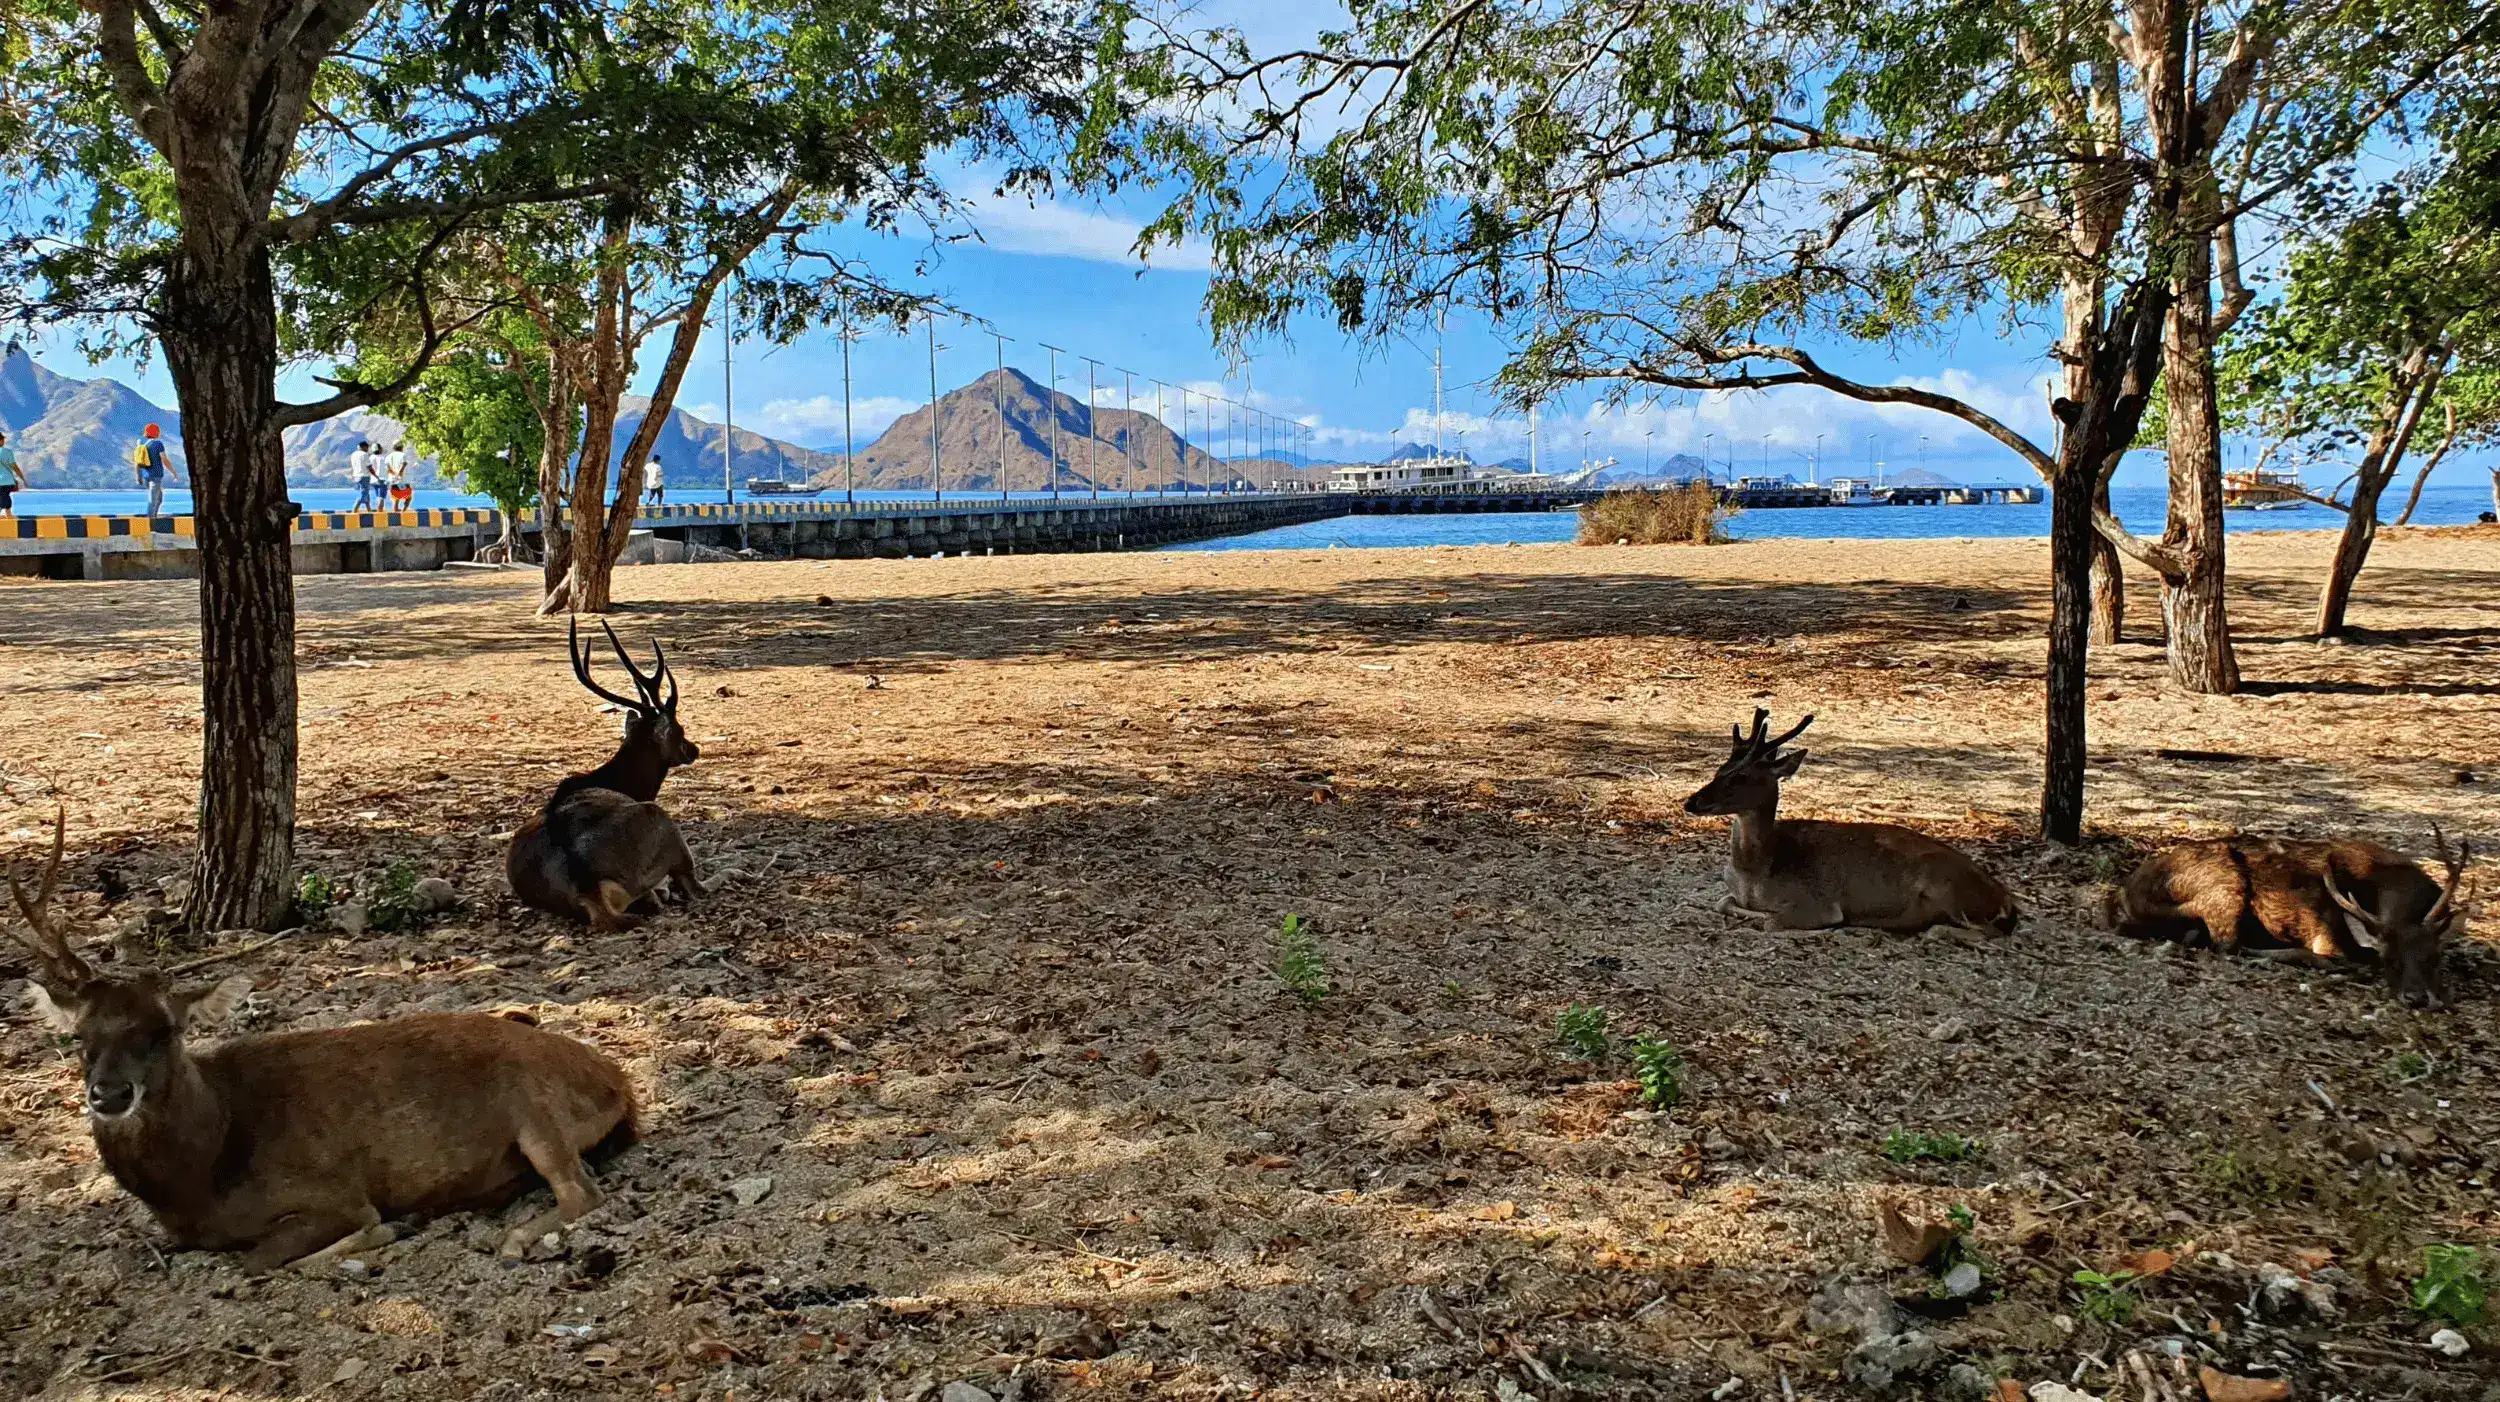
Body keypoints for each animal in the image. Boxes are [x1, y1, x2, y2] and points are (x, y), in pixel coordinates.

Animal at [7, 811, 637, 1269]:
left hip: (535, 1105)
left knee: (582, 1193)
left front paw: (387, 1228)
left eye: (164, 1032)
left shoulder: (331, 1193)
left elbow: (261, 1259)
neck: (203, 1178)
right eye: (80, 1035)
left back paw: (504, 1240)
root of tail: (619, 1083)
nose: (110, 1094)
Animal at [507, 618, 706, 930]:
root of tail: (589, 891)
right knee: (690, 885)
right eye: (679, 729)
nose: (694, 749)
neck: (625, 783)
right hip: (663, 825)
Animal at [1682, 709, 2019, 934]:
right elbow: (1722, 902)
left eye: (1740, 777)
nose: (1691, 801)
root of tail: (2005, 897)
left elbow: (1773, 921)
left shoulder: (1817, 902)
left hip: (1949, 888)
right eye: (1718, 770)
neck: (1754, 872)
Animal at [2107, 829, 2471, 1009]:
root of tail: (2125, 890)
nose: (2419, 998)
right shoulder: (2324, 928)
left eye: (2435, 958)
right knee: (2227, 944)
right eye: (2389, 960)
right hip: (2225, 886)